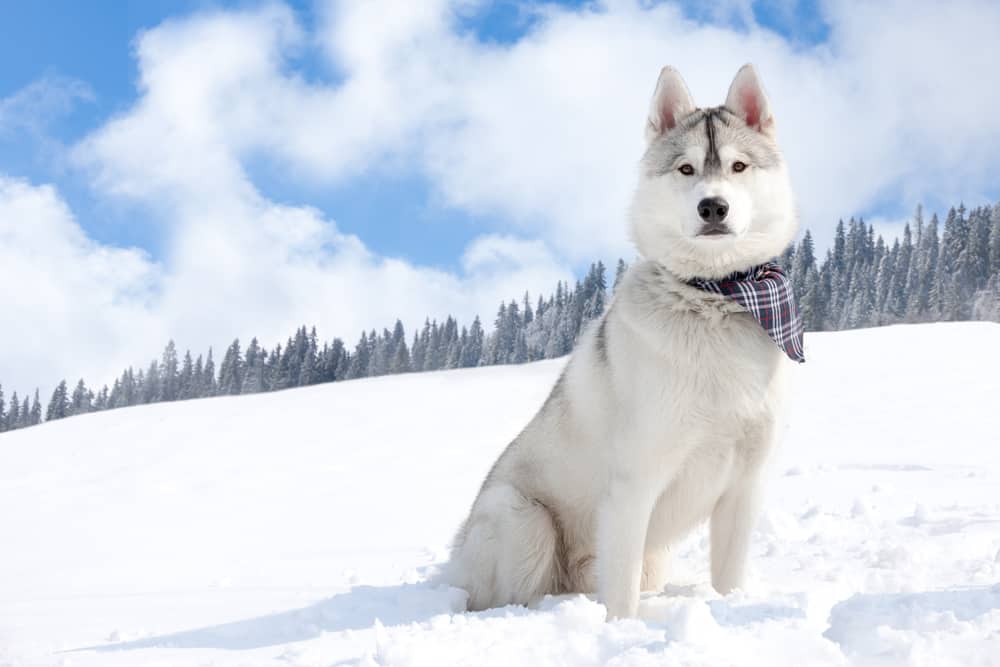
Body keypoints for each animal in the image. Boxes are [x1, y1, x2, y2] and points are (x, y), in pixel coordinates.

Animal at [444, 65, 796, 620]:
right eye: (685, 169)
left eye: (738, 166)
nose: (713, 206)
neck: (714, 299)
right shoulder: (634, 485)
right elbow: (622, 596)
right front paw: (620, 629)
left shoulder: (744, 488)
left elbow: (728, 581)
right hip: (523, 518)